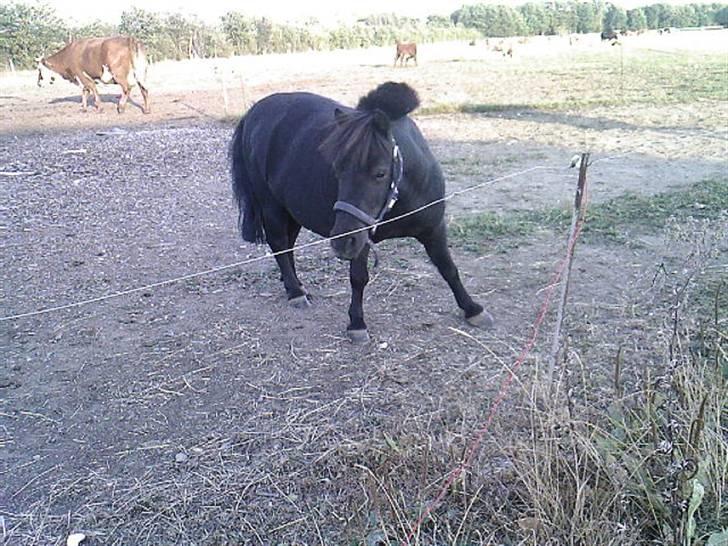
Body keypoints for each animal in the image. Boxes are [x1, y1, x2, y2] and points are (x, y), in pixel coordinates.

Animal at [230, 81, 492, 340]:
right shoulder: (360, 237)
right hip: (271, 204)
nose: (340, 242)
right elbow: (358, 279)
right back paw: (295, 292)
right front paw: (357, 323)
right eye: (337, 169)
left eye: (380, 173)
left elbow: (448, 268)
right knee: (279, 243)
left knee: (288, 246)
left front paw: (472, 309)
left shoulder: (433, 228)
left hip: (292, 210)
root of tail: (254, 111)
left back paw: (295, 285)